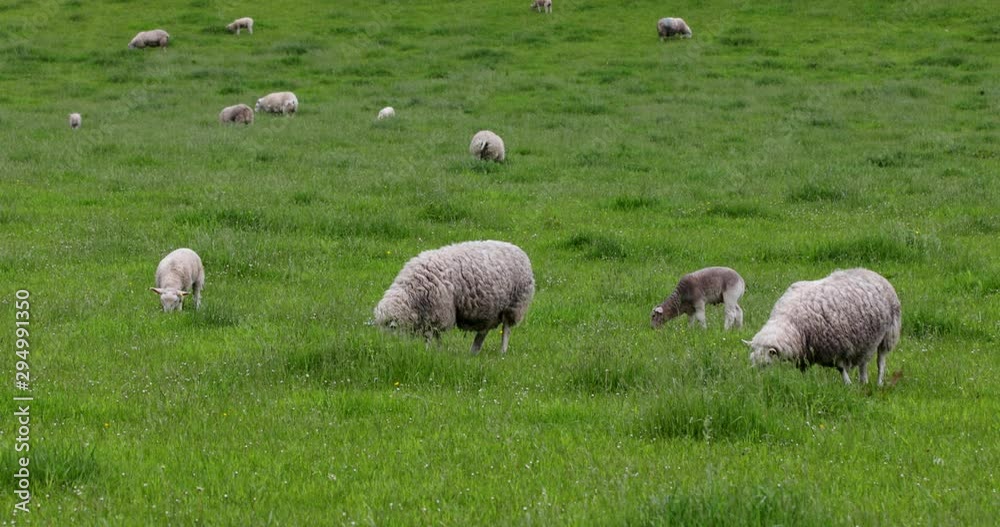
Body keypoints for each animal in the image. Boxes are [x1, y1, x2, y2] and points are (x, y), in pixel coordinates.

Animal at [374, 241, 535, 354]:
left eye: (390, 329)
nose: (389, 348)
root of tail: (520, 251)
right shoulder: (433, 313)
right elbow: (435, 335)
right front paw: (438, 350)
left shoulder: (438, 311)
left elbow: (430, 335)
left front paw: (429, 351)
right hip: (492, 310)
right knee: (483, 332)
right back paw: (473, 352)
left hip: (514, 306)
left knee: (506, 331)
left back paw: (502, 352)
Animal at [746, 268, 901, 385]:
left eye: (766, 364)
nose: (760, 382)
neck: (791, 321)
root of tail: (871, 272)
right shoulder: (805, 353)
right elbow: (803, 370)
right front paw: (804, 383)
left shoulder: (837, 347)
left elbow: (841, 368)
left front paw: (848, 385)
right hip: (866, 341)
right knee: (863, 363)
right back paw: (864, 382)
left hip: (888, 334)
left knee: (881, 362)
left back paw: (879, 383)